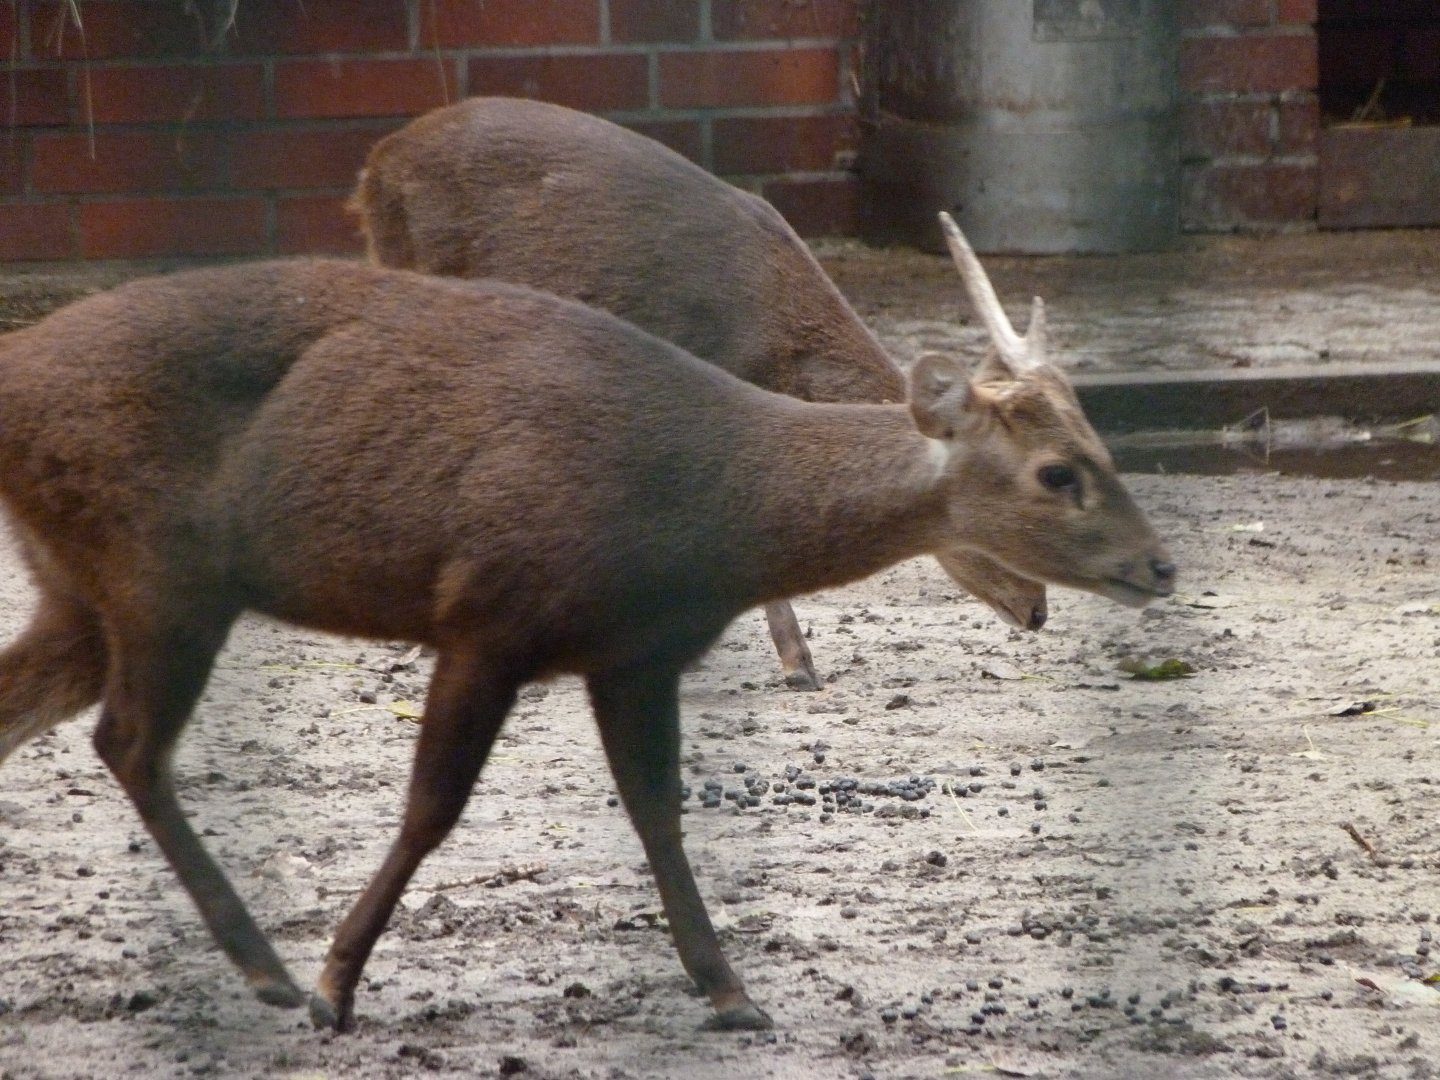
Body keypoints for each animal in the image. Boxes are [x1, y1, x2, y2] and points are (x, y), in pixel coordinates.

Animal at [0, 230, 1174, 1034]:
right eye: (1057, 472)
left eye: (1102, 445)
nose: (1163, 565)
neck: (711, 520)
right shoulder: (487, 614)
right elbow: (432, 810)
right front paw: (338, 980)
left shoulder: (635, 656)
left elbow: (659, 811)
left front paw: (729, 989)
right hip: (158, 573)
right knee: (130, 743)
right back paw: (270, 969)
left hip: (81, 589)